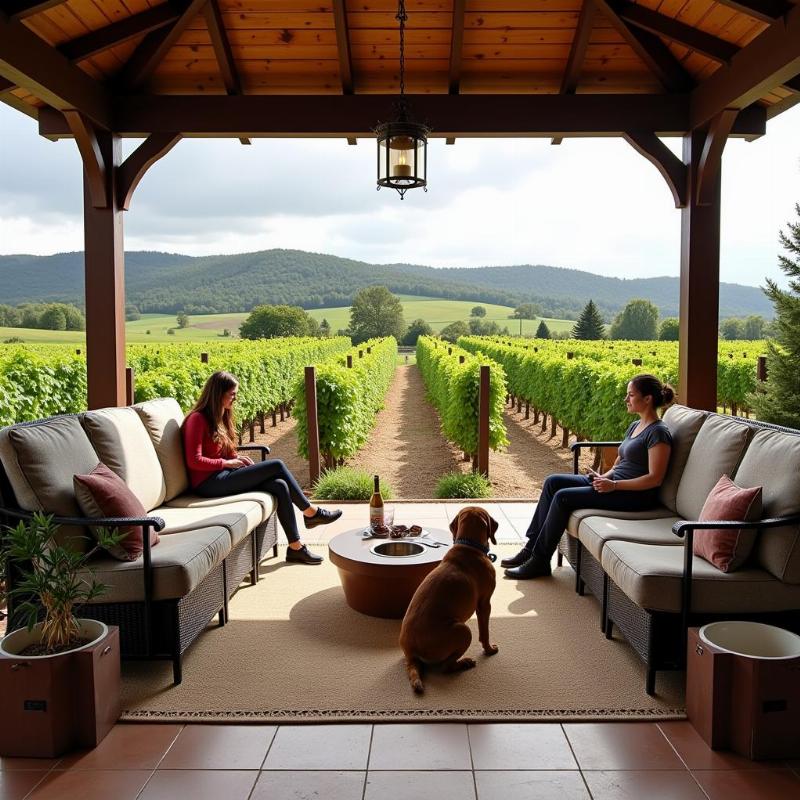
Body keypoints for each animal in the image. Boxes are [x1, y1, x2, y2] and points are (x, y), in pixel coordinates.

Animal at [396, 506, 496, 692]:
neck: (468, 545)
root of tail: (412, 651)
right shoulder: (485, 604)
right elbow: (484, 633)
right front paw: (489, 649)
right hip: (463, 630)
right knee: (445, 667)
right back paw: (464, 663)